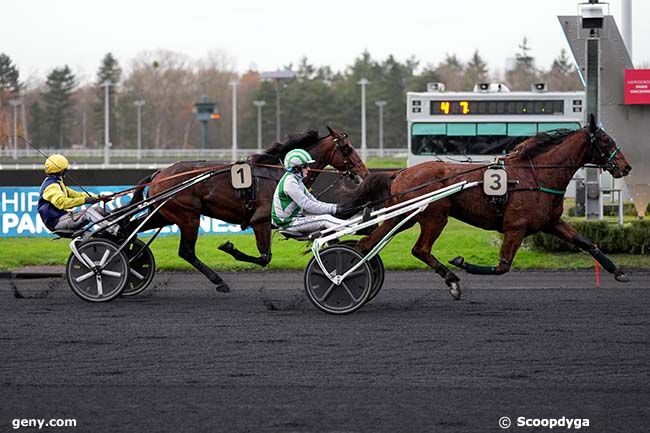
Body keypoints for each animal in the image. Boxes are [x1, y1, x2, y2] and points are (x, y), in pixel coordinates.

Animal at [128, 126, 370, 292]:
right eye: (347, 148)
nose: (365, 173)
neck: (279, 172)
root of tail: (159, 173)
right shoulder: (260, 221)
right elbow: (264, 258)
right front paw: (229, 248)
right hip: (188, 216)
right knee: (186, 251)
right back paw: (219, 281)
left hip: (165, 215)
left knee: (130, 229)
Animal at [342, 113, 632, 298]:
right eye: (605, 140)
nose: (626, 166)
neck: (535, 175)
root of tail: (399, 173)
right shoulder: (516, 227)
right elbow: (503, 266)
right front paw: (462, 263)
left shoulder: (551, 222)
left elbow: (586, 242)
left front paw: (619, 271)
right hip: (434, 216)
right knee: (420, 249)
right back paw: (451, 280)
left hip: (403, 216)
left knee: (366, 244)